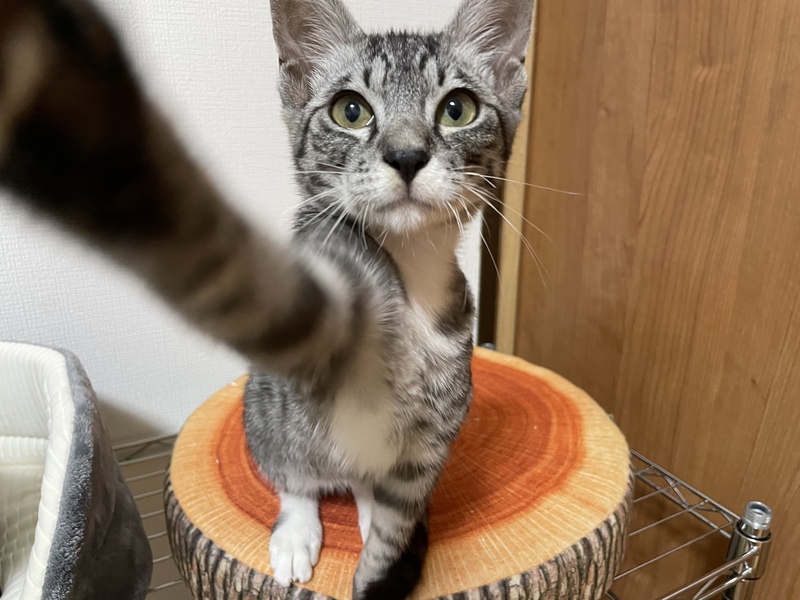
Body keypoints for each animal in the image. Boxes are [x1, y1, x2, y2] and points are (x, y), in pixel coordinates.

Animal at [0, 0, 534, 597]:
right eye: (351, 111)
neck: (411, 276)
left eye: (457, 109)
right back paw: (297, 531)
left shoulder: (433, 432)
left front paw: (380, 563)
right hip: (267, 413)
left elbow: (398, 513)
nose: (406, 155)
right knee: (294, 473)